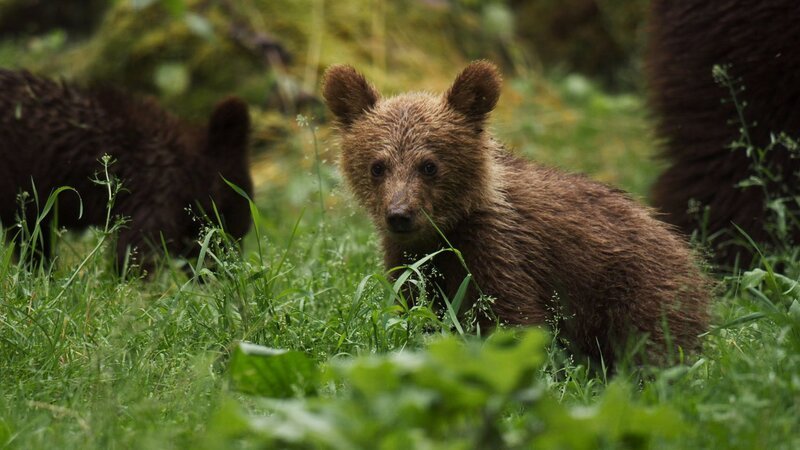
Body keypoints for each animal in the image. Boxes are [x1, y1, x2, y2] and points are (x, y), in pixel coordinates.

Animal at [323, 61, 711, 367]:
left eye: (429, 165)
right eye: (377, 166)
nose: (400, 214)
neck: (447, 230)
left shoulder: (500, 252)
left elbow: (514, 320)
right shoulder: (413, 261)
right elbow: (417, 311)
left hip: (639, 290)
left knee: (653, 343)